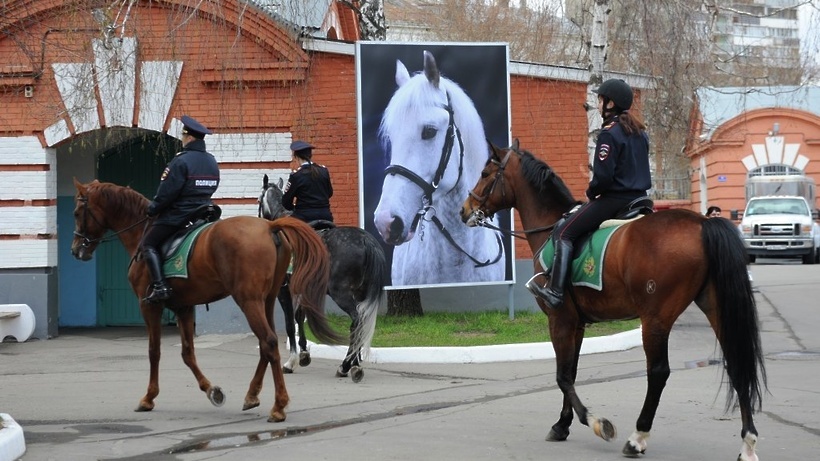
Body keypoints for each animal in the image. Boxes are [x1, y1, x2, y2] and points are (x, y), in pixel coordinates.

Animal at [67, 178, 342, 422]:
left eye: (77, 211)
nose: (76, 249)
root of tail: (268, 227)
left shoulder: (149, 305)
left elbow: (154, 351)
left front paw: (148, 397)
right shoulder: (184, 307)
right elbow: (188, 353)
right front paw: (212, 391)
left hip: (249, 300)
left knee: (270, 342)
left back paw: (278, 405)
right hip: (267, 299)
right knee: (267, 343)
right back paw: (252, 394)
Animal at [258, 173, 386, 380]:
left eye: (257, 200)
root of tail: (366, 241)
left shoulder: (283, 291)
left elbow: (289, 323)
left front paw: (291, 361)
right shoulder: (301, 290)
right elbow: (299, 316)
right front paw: (304, 354)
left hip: (340, 293)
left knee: (356, 321)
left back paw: (346, 365)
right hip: (361, 293)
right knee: (360, 323)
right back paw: (354, 364)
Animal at [462, 141, 768, 460]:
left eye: (485, 173)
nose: (465, 209)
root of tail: (702, 222)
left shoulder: (559, 320)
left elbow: (562, 376)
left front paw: (596, 422)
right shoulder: (577, 324)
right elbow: (571, 371)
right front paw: (561, 425)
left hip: (655, 320)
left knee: (658, 372)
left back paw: (637, 438)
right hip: (715, 308)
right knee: (736, 364)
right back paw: (747, 443)